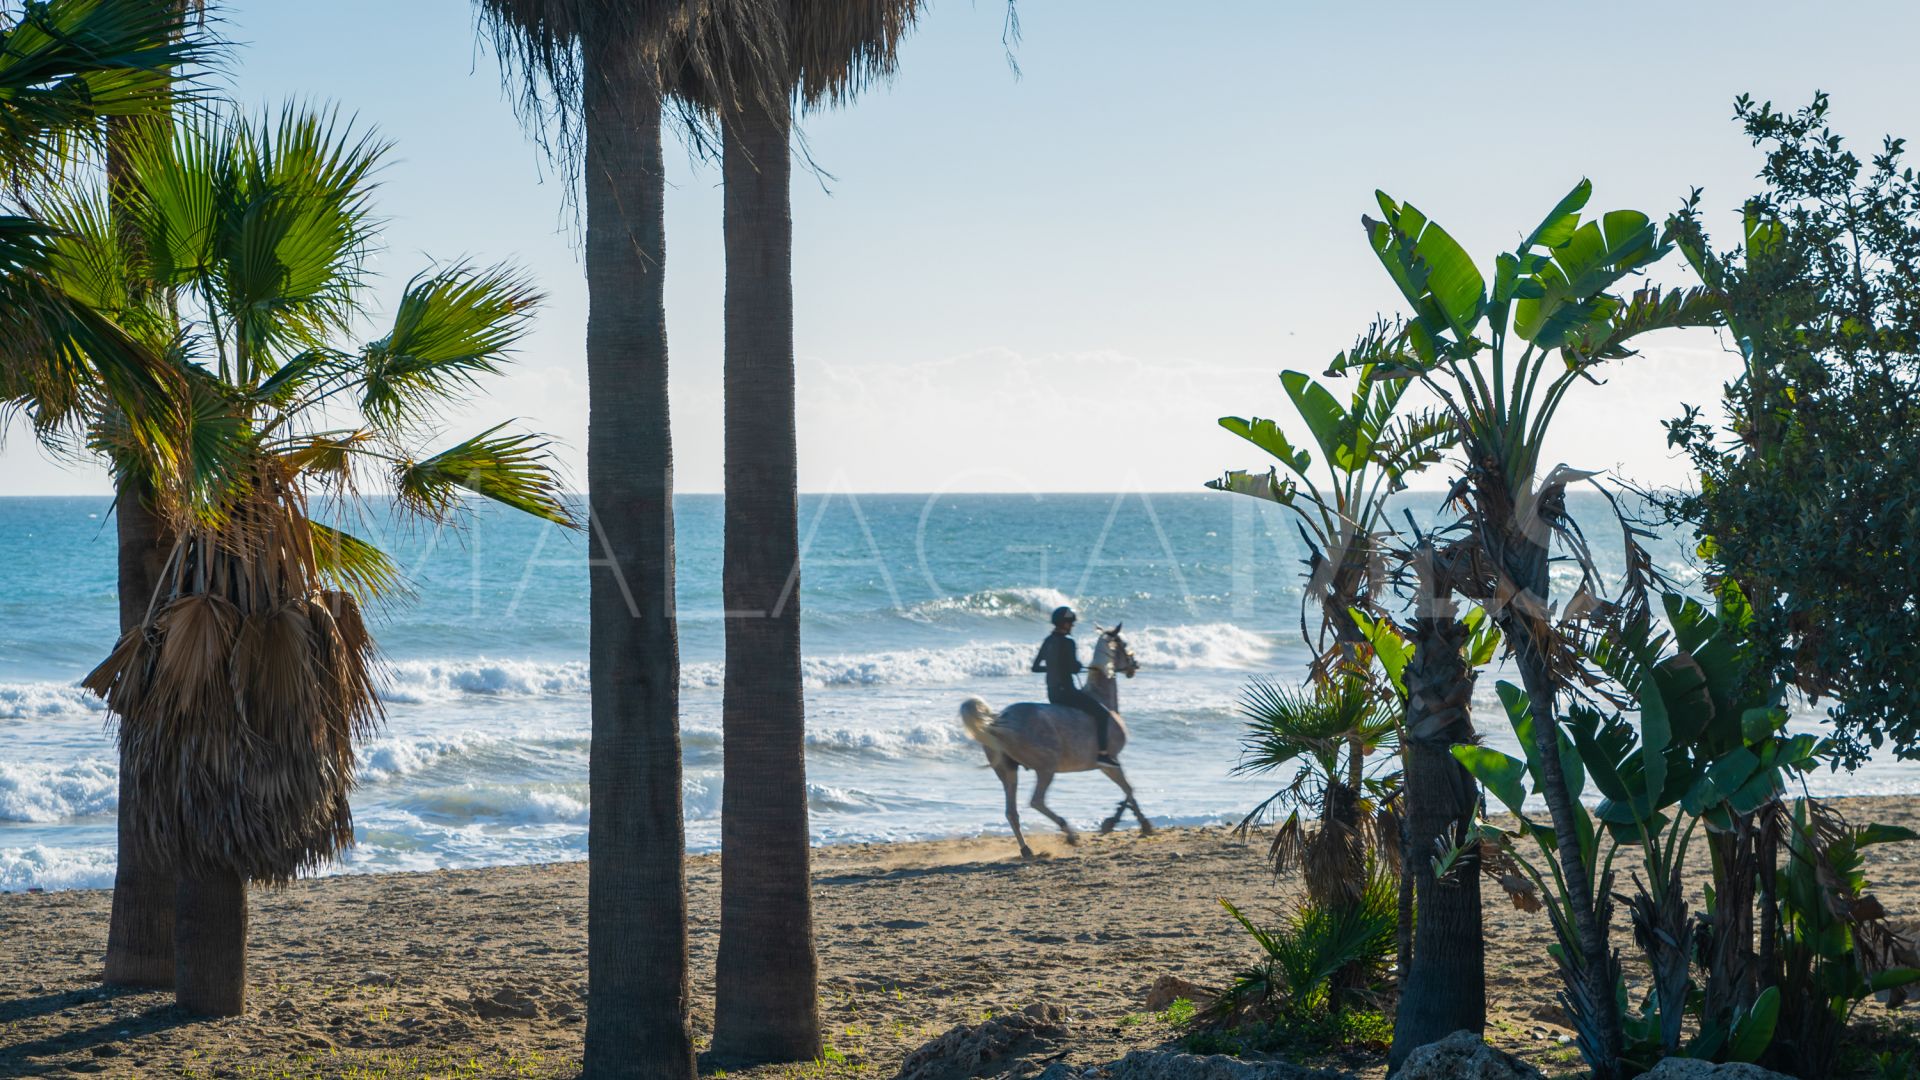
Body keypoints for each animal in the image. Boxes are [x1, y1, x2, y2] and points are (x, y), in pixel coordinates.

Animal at [960, 622, 1152, 857]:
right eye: (1123, 644)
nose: (1135, 665)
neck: (1101, 699)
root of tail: (1000, 720)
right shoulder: (1110, 762)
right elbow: (1129, 790)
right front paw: (1125, 823)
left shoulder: (1108, 765)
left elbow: (1128, 791)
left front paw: (1126, 822)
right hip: (1045, 768)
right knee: (1036, 801)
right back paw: (1069, 833)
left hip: (1008, 772)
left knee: (1011, 812)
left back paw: (1027, 849)